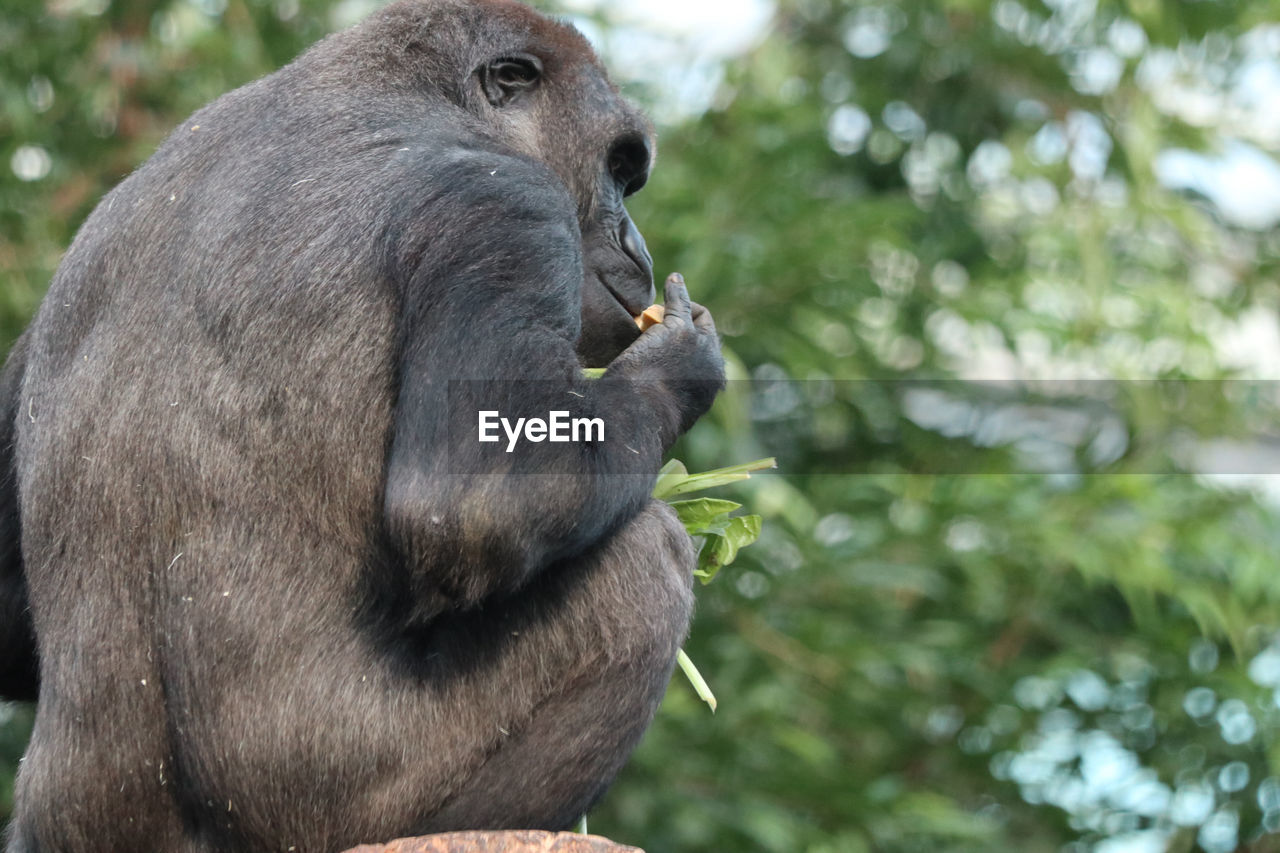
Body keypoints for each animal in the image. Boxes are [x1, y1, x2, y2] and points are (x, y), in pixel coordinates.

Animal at [0, 0, 727, 845]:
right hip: (324, 806)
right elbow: (479, 504)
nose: (634, 244)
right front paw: (681, 360)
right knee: (643, 563)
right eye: (618, 168)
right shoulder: (509, 205)